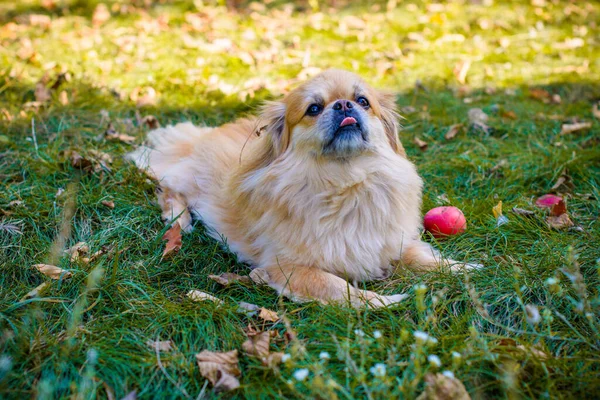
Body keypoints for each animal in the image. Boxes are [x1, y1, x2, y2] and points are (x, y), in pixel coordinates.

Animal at [127, 69, 478, 306]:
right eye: (314, 109)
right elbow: (341, 289)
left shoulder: (391, 244)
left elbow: (425, 258)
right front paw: (383, 301)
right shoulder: (289, 268)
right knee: (167, 189)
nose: (343, 105)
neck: (346, 183)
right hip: (188, 180)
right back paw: (179, 219)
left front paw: (463, 268)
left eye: (363, 102)